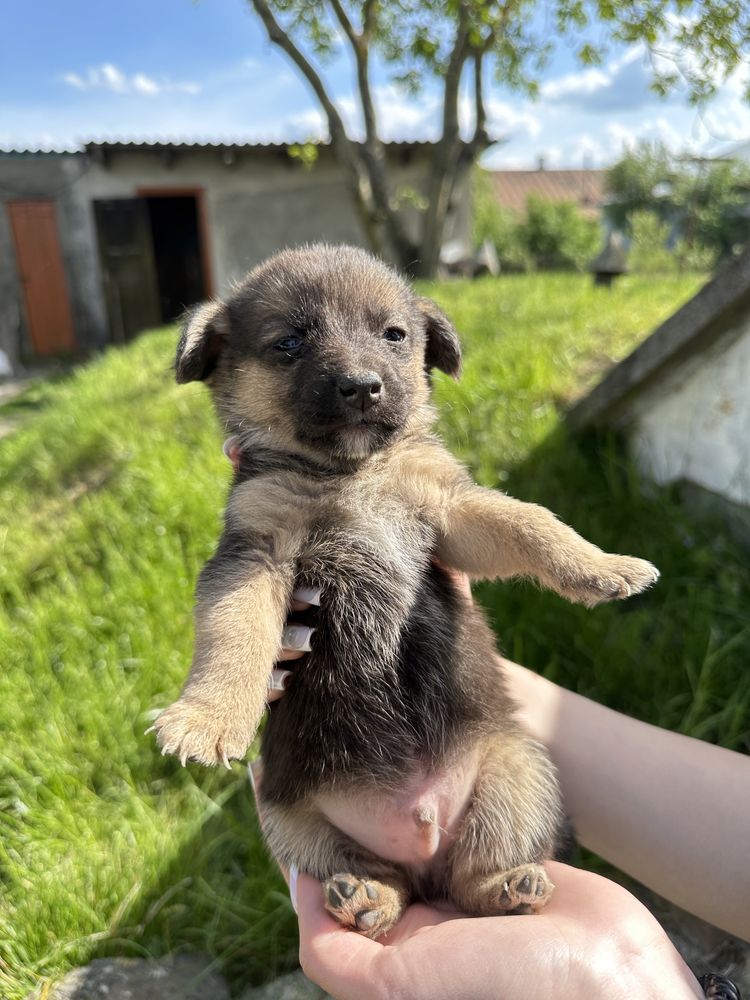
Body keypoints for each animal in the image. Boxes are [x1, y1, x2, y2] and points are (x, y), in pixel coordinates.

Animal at [153, 242, 656, 936]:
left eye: (393, 336)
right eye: (289, 344)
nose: (363, 385)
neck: (351, 472)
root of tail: (421, 837)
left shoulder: (451, 510)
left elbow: (532, 521)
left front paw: (603, 565)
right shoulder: (254, 553)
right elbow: (236, 636)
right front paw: (206, 717)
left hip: (519, 771)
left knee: (471, 878)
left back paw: (508, 887)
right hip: (289, 820)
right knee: (381, 877)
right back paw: (368, 895)